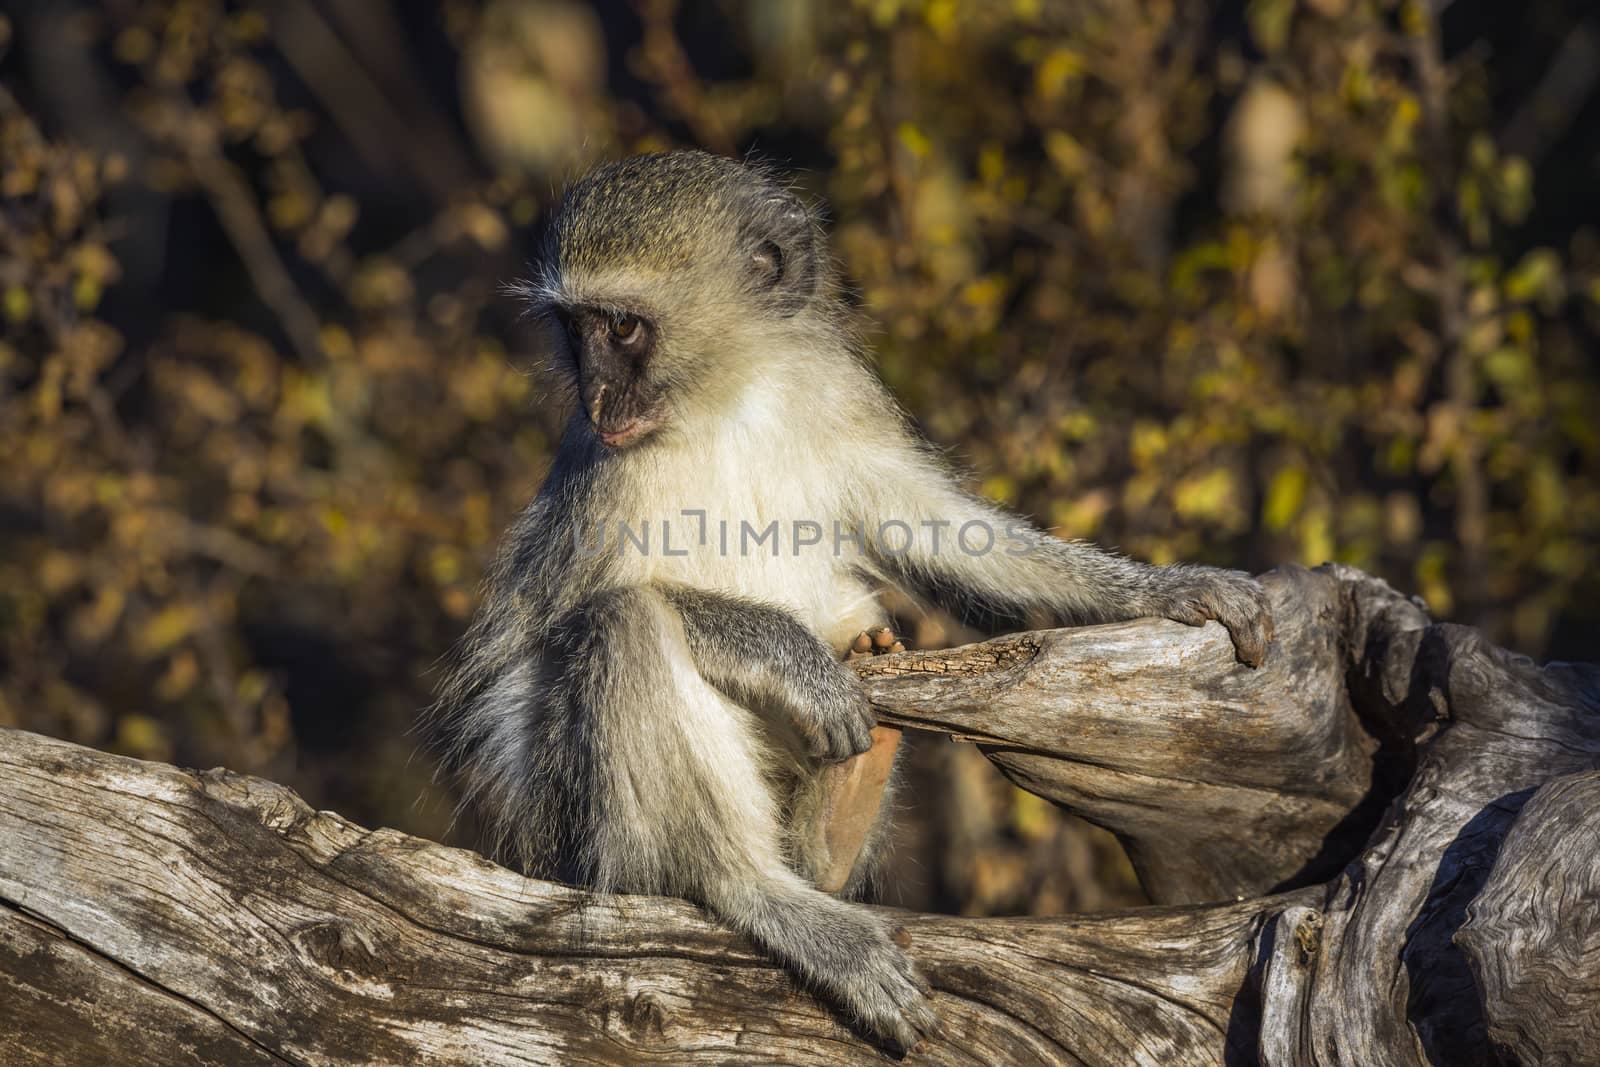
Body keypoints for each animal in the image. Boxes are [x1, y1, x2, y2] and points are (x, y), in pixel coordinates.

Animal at [428, 150, 1273, 1049]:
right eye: (574, 329)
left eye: (621, 328)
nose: (595, 397)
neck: (730, 398)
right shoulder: (602, 478)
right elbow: (535, 646)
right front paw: (788, 656)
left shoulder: (833, 395)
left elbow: (938, 528)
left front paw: (1166, 587)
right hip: (573, 831)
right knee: (626, 627)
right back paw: (768, 892)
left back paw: (838, 820)